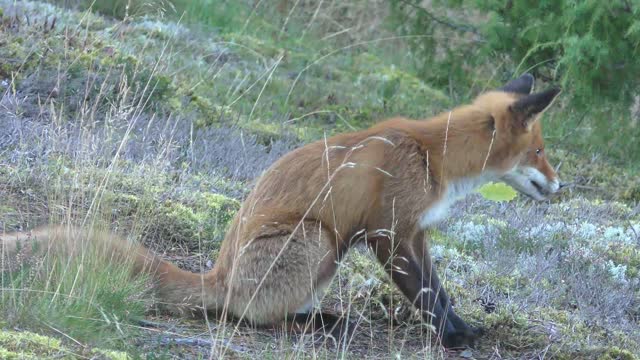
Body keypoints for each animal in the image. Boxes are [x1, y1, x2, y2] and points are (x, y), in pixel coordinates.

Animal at [1, 74, 560, 348]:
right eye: (539, 151)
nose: (561, 184)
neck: (430, 154)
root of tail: (219, 274)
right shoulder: (389, 233)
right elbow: (426, 296)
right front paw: (454, 339)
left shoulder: (414, 232)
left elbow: (438, 292)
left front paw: (461, 329)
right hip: (318, 240)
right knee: (251, 316)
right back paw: (316, 325)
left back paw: (322, 317)